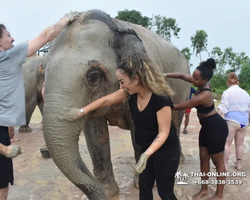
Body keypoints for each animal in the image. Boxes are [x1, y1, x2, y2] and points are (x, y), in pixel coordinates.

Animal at [42, 9, 189, 200]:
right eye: (43, 70)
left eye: (94, 76)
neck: (116, 25)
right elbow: (96, 135)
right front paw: (108, 190)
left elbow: (139, 132)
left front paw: (142, 183)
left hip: (183, 91)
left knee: (175, 122)